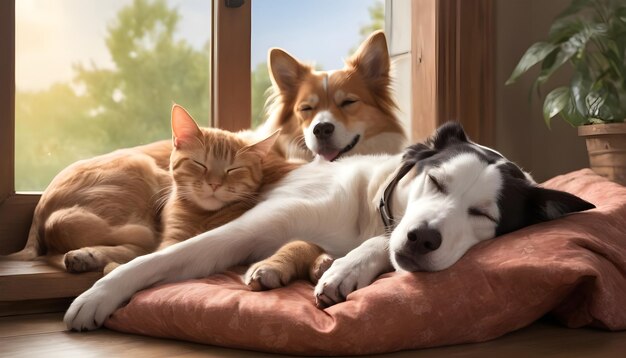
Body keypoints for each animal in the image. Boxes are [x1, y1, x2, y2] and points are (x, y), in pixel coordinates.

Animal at [66, 122, 592, 330]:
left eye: (483, 215)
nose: (423, 238)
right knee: (139, 248)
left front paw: (346, 268)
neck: (366, 210)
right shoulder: (238, 233)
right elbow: (155, 262)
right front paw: (98, 298)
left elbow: (379, 247)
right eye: (437, 181)